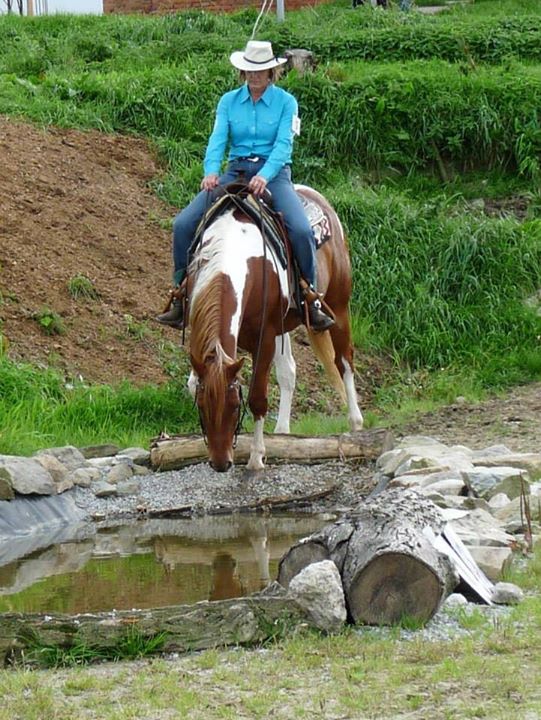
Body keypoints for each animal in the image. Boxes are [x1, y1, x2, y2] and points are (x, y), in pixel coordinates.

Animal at [186, 184, 362, 472]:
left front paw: (257, 457)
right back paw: (282, 432)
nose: (221, 463)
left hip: (339, 306)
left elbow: (258, 397)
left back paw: (356, 424)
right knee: (289, 371)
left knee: (344, 360)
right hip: (286, 327)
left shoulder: (265, 338)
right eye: (201, 407)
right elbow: (193, 383)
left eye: (235, 406)